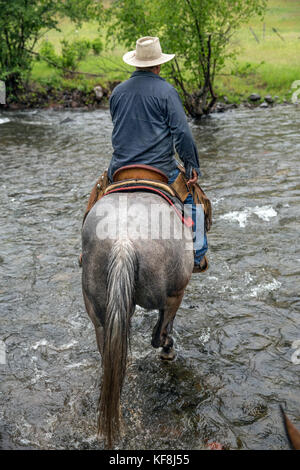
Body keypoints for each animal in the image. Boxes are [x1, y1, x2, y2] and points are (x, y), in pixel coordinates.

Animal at [81, 192, 193, 448]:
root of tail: (123, 242)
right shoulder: (175, 294)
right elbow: (162, 328)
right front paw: (167, 350)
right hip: (172, 293)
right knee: (159, 332)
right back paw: (167, 349)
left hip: (100, 314)